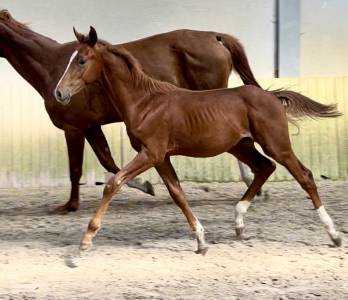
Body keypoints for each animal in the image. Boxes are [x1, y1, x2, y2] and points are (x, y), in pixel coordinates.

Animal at [0, 8, 264, 211]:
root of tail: (215, 37)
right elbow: (108, 160)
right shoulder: (91, 127)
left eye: (81, 62)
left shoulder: (73, 127)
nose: (60, 93)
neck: (51, 65)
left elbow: (76, 168)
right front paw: (146, 186)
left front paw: (70, 205)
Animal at [55, 27, 342, 253]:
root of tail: (271, 97)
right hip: (241, 146)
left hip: (276, 145)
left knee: (304, 175)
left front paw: (87, 239)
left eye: (81, 61)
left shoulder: (150, 153)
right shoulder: (161, 157)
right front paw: (201, 241)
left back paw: (334, 234)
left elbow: (113, 183)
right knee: (264, 168)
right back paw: (238, 222)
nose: (59, 92)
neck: (145, 102)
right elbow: (178, 194)